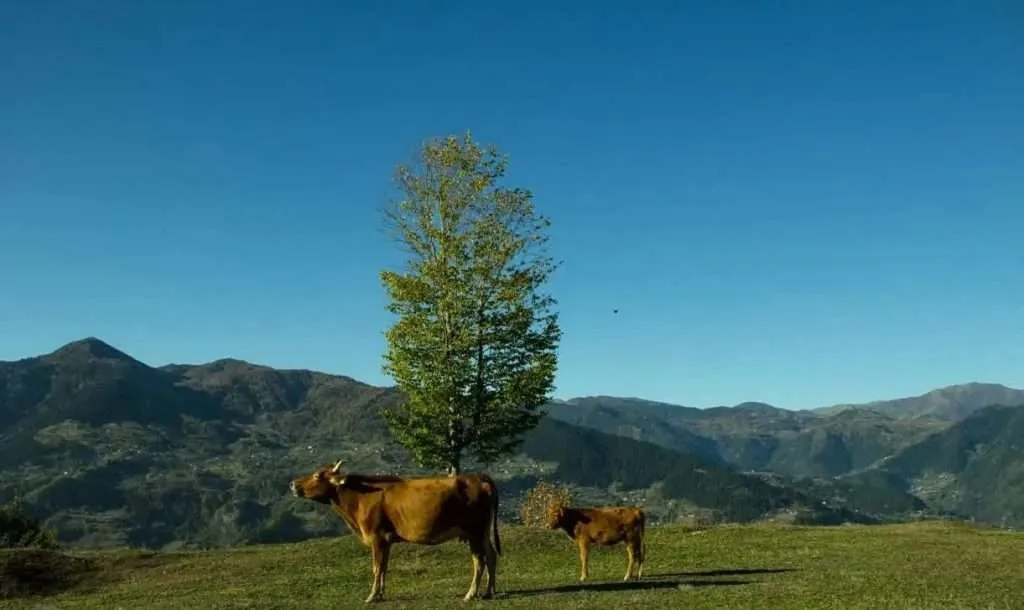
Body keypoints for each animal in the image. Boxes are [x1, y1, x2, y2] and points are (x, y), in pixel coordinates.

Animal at [289, 460, 502, 603]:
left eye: (317, 475)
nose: (292, 484)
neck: (359, 499)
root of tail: (478, 477)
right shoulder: (387, 539)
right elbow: (384, 567)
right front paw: (381, 594)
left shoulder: (376, 536)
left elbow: (376, 567)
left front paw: (371, 596)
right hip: (482, 532)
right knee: (491, 555)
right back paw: (489, 591)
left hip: (474, 531)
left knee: (479, 561)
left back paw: (470, 594)